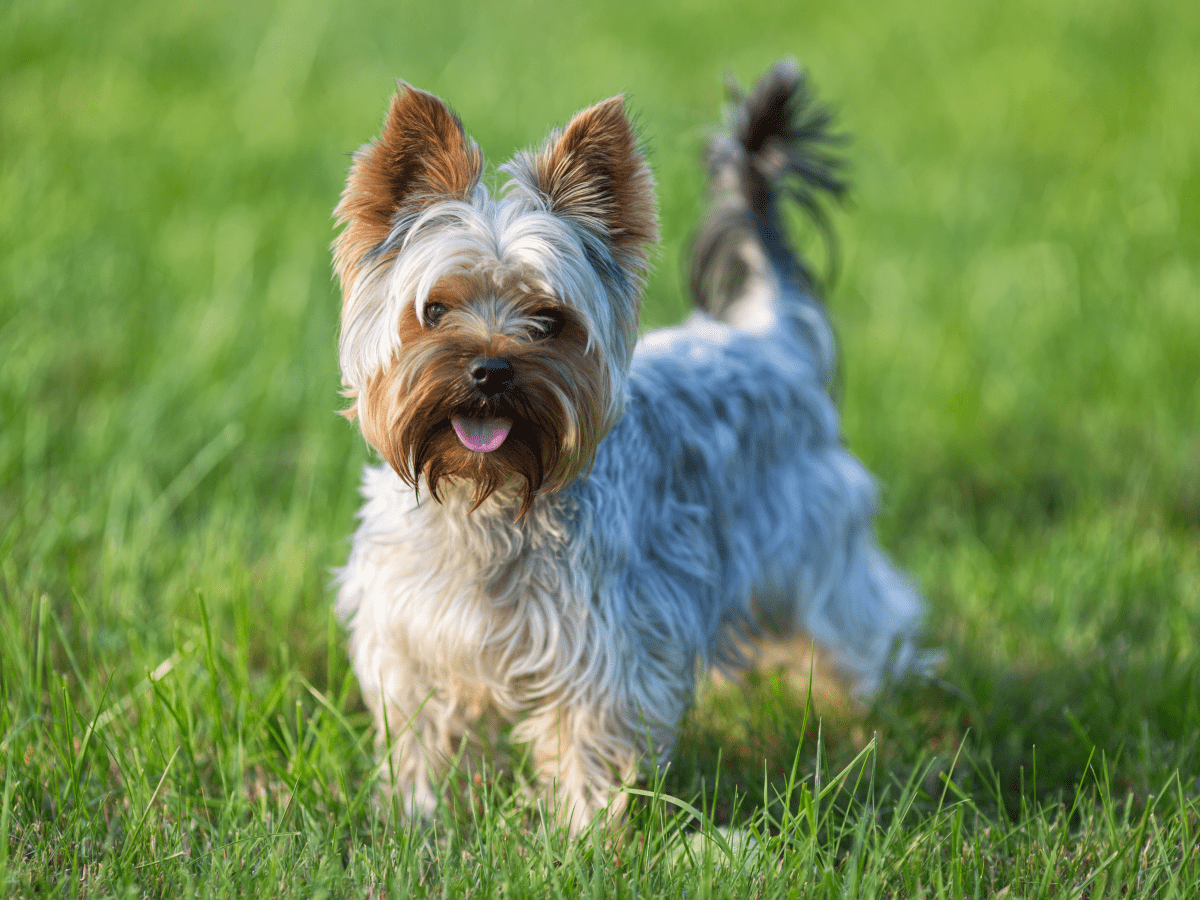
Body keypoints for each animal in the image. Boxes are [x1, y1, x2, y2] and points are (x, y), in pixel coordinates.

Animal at [333, 60, 921, 835]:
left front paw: (580, 836)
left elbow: (586, 738)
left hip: (815, 546)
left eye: (548, 319)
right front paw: (420, 819)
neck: (484, 494)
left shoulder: (601, 645)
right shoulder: (412, 638)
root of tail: (772, 340)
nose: (490, 371)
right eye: (433, 310)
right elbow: (424, 735)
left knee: (862, 621)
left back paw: (871, 709)